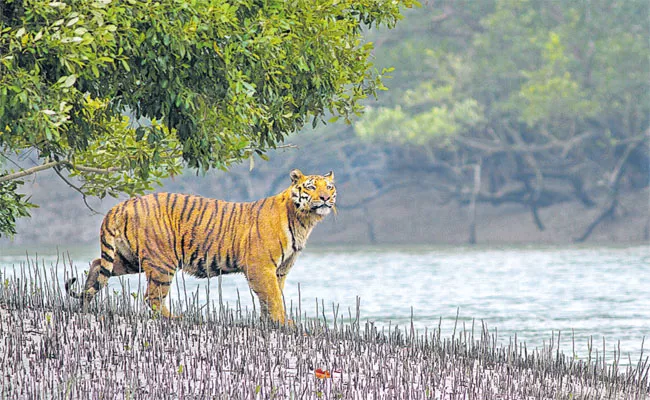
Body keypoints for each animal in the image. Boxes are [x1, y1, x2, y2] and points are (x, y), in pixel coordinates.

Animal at [66, 170, 336, 324]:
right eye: (312, 186)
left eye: (329, 186)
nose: (325, 198)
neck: (304, 220)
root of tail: (122, 205)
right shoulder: (261, 267)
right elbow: (273, 297)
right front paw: (283, 323)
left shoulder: (279, 270)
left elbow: (271, 297)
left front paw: (270, 323)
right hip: (162, 262)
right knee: (152, 297)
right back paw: (173, 318)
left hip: (129, 258)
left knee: (97, 264)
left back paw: (85, 303)